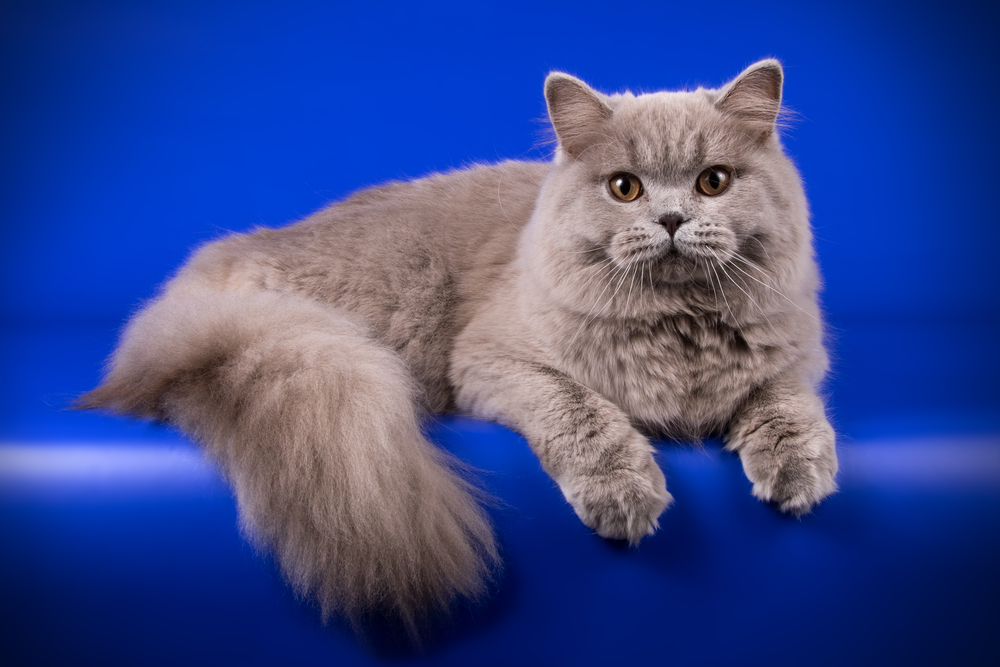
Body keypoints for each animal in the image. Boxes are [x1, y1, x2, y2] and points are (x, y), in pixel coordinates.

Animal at [82, 61, 840, 636]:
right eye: (625, 187)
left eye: (714, 180)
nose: (674, 219)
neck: (679, 329)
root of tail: (216, 265)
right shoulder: (493, 361)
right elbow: (582, 411)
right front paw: (623, 491)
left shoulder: (788, 358)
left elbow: (787, 405)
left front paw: (798, 468)